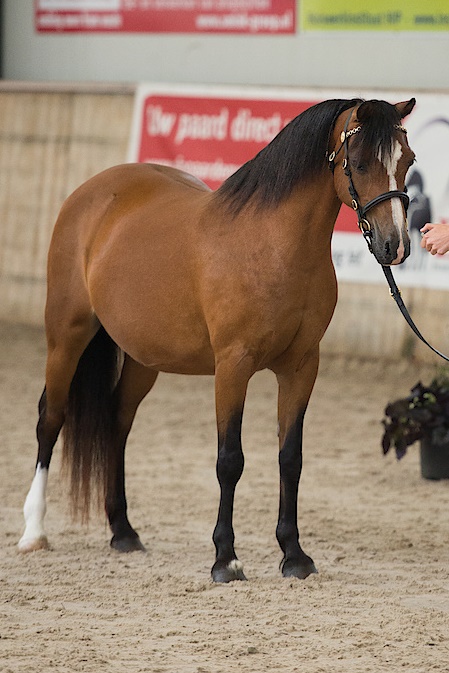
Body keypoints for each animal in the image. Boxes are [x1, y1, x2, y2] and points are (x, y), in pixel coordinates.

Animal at [18, 97, 416, 580]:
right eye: (359, 163)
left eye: (408, 162)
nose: (395, 246)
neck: (274, 247)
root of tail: (90, 192)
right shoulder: (232, 366)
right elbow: (230, 460)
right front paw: (226, 558)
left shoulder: (302, 366)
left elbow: (291, 458)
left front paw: (294, 555)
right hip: (66, 335)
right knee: (50, 419)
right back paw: (34, 532)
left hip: (143, 359)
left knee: (117, 421)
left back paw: (123, 531)